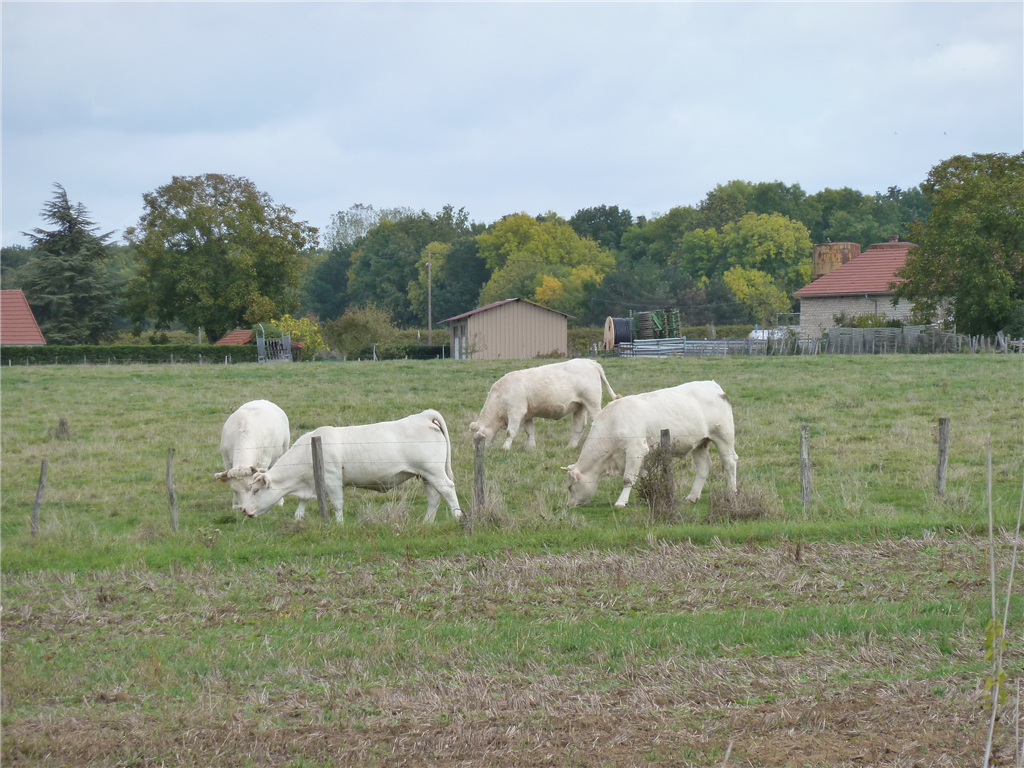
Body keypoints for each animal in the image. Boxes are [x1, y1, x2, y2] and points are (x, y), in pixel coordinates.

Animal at [235, 409, 462, 524]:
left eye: (256, 490)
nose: (244, 510)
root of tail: (423, 416)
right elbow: (303, 503)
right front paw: (299, 518)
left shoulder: (332, 479)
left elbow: (337, 503)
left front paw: (339, 523)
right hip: (426, 475)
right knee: (434, 497)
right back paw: (427, 522)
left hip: (433, 471)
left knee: (448, 489)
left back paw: (458, 517)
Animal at [470, 359, 620, 450]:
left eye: (477, 438)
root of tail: (590, 361)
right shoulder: (527, 415)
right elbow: (529, 431)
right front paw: (531, 447)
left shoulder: (515, 412)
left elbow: (510, 432)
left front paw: (505, 448)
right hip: (580, 406)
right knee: (578, 427)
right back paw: (570, 446)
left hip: (592, 403)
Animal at [562, 380, 738, 508]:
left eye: (570, 487)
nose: (569, 505)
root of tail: (712, 385)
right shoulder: (642, 455)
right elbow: (644, 476)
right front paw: (649, 497)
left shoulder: (635, 450)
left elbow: (628, 478)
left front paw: (621, 502)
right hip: (700, 443)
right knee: (703, 467)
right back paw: (692, 497)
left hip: (724, 436)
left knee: (730, 463)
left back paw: (731, 492)